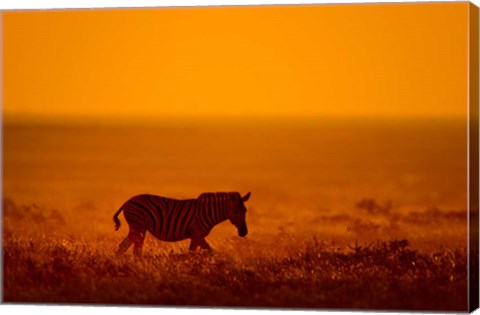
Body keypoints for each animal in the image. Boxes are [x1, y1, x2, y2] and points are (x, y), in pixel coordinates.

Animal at [113, 191, 251, 258]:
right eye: (236, 212)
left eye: (245, 211)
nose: (244, 232)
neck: (208, 212)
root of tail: (128, 201)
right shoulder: (197, 234)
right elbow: (210, 251)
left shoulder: (195, 236)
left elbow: (191, 253)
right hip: (139, 226)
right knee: (135, 251)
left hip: (137, 228)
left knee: (123, 247)